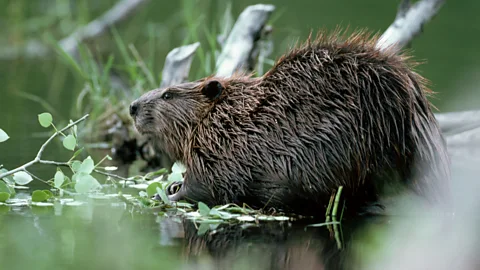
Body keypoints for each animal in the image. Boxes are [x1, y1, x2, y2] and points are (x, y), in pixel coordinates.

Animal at [129, 29, 452, 215]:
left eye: (168, 94)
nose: (132, 106)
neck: (229, 116)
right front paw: (171, 185)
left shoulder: (221, 149)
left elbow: (208, 186)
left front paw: (168, 194)